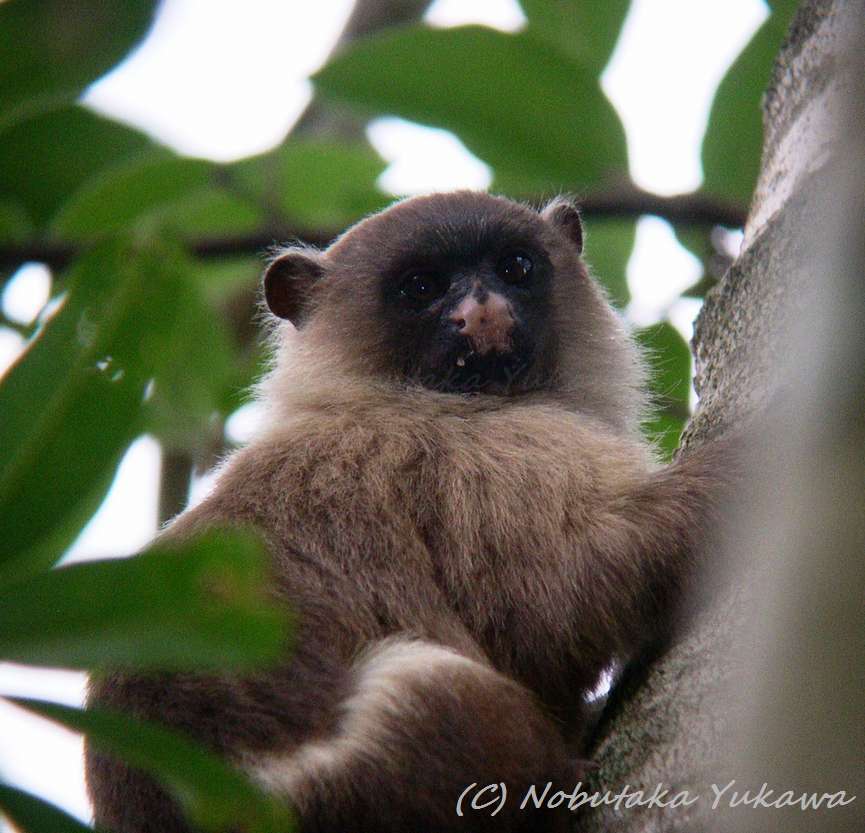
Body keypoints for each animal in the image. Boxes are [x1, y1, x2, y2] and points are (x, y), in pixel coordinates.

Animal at [84, 192, 736, 832]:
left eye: (515, 268)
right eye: (421, 286)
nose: (482, 310)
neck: (392, 397)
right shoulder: (484, 464)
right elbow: (562, 600)